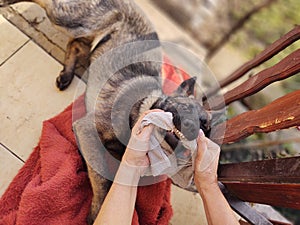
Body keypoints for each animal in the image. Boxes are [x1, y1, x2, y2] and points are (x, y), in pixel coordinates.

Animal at [0, 0, 218, 222]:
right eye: (184, 108)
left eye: (206, 127)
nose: (192, 129)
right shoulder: (87, 130)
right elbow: (103, 181)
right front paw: (97, 212)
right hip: (68, 19)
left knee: (76, 45)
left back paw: (67, 74)